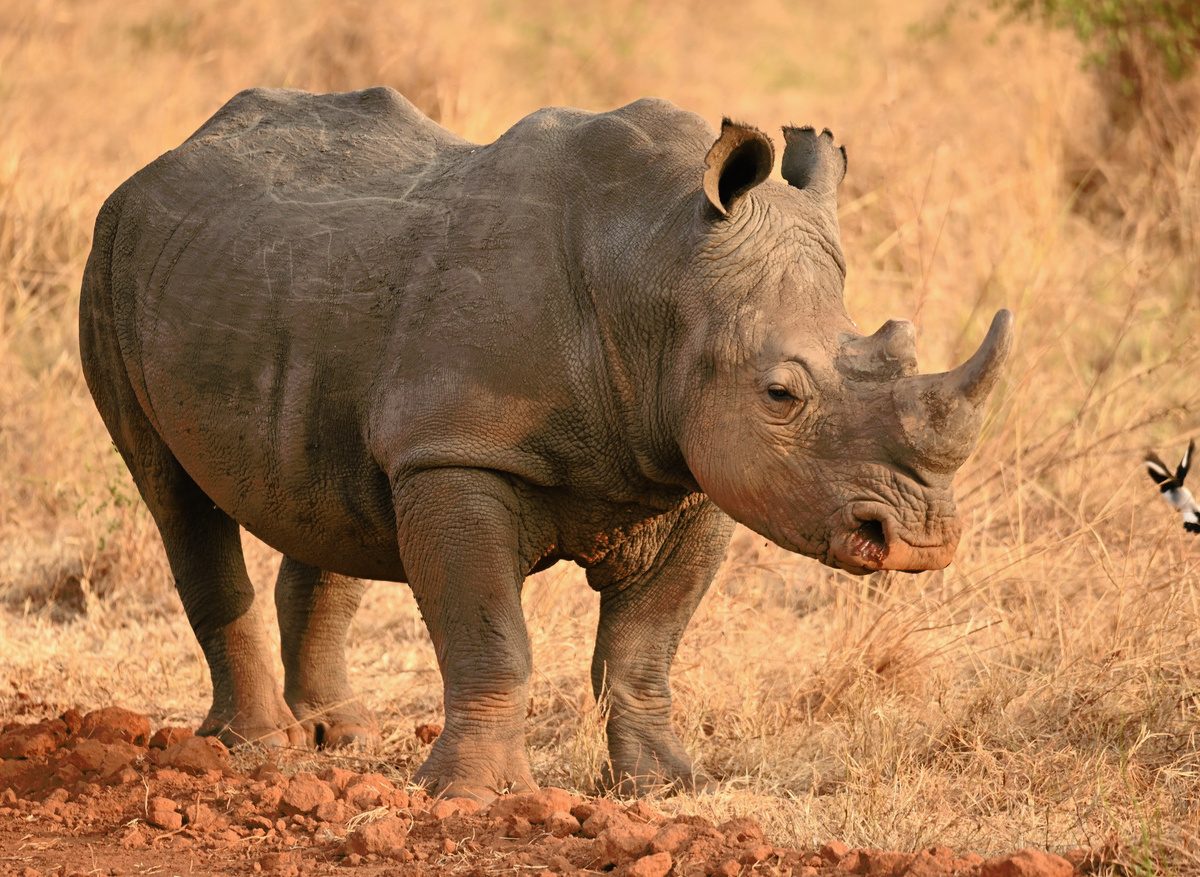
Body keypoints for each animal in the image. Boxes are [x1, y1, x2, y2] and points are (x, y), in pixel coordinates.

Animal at [80, 87, 1012, 801]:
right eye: (781, 395)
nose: (921, 539)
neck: (660, 266)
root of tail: (160, 160)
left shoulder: (696, 469)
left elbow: (644, 650)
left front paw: (668, 786)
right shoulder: (459, 448)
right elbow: (494, 638)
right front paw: (472, 795)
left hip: (284, 287)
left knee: (327, 489)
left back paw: (338, 737)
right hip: (110, 252)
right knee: (174, 497)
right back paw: (257, 747)